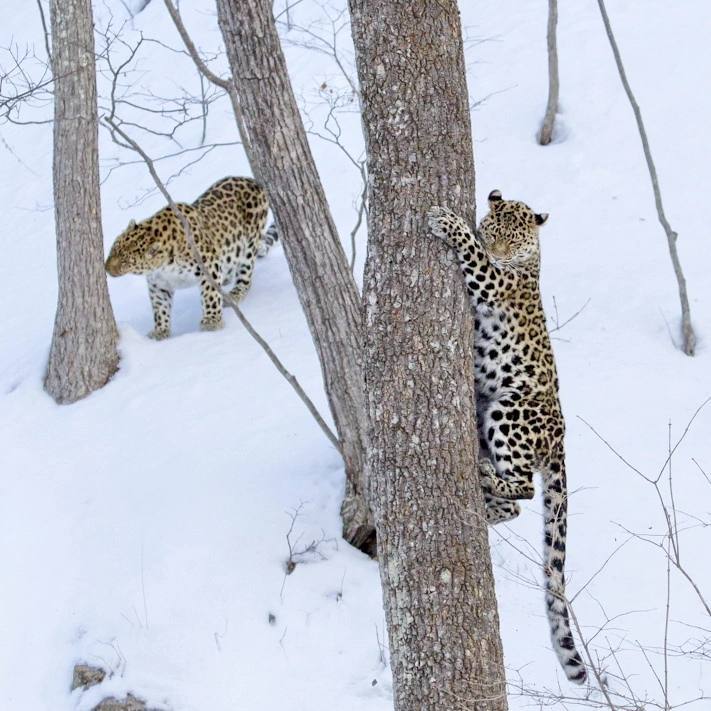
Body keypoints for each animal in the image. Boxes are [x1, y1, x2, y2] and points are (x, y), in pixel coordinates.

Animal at [105, 177, 278, 340]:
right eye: (113, 249)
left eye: (125, 261)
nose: (106, 268)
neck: (163, 265)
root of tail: (253, 181)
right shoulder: (158, 283)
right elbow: (160, 307)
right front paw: (160, 331)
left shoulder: (209, 266)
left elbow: (210, 295)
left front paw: (211, 322)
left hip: (248, 246)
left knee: (246, 275)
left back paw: (235, 294)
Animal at [428, 192, 584, 688]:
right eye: (492, 228)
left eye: (513, 239)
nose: (497, 250)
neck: (528, 263)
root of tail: (560, 439)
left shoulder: (492, 281)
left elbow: (471, 255)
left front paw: (444, 220)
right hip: (484, 420)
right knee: (514, 506)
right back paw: (482, 496)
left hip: (506, 409)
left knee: (524, 489)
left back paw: (485, 478)